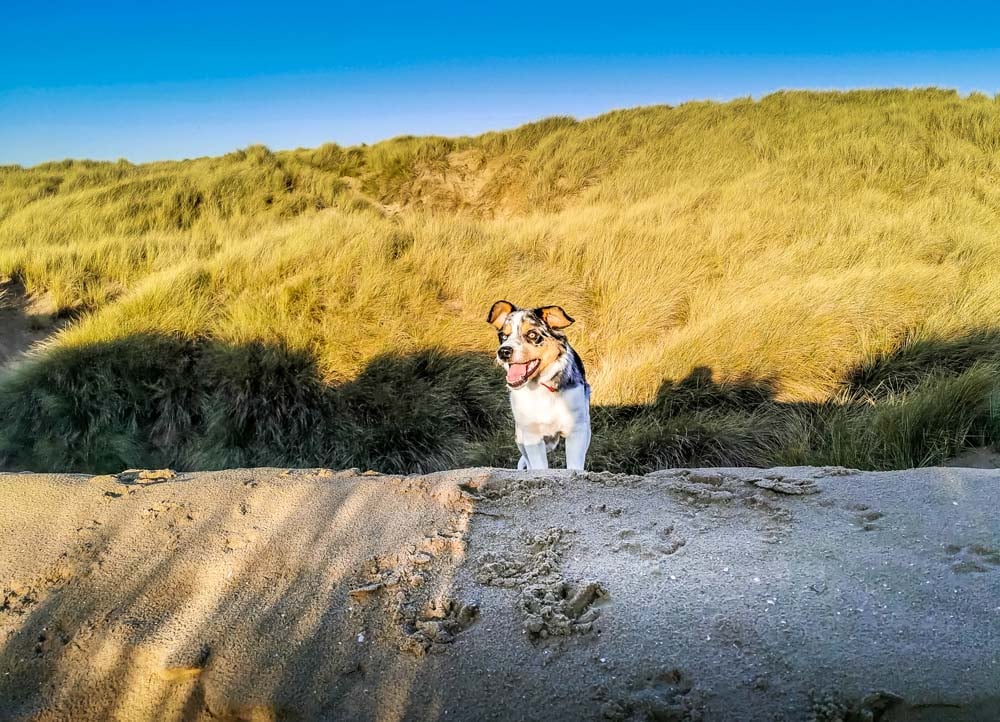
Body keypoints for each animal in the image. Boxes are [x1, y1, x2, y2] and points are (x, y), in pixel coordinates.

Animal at [486, 296, 588, 466]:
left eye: (532, 335)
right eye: (504, 336)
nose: (503, 352)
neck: (540, 388)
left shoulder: (577, 431)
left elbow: (574, 465)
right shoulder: (531, 437)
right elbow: (539, 466)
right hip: (520, 436)